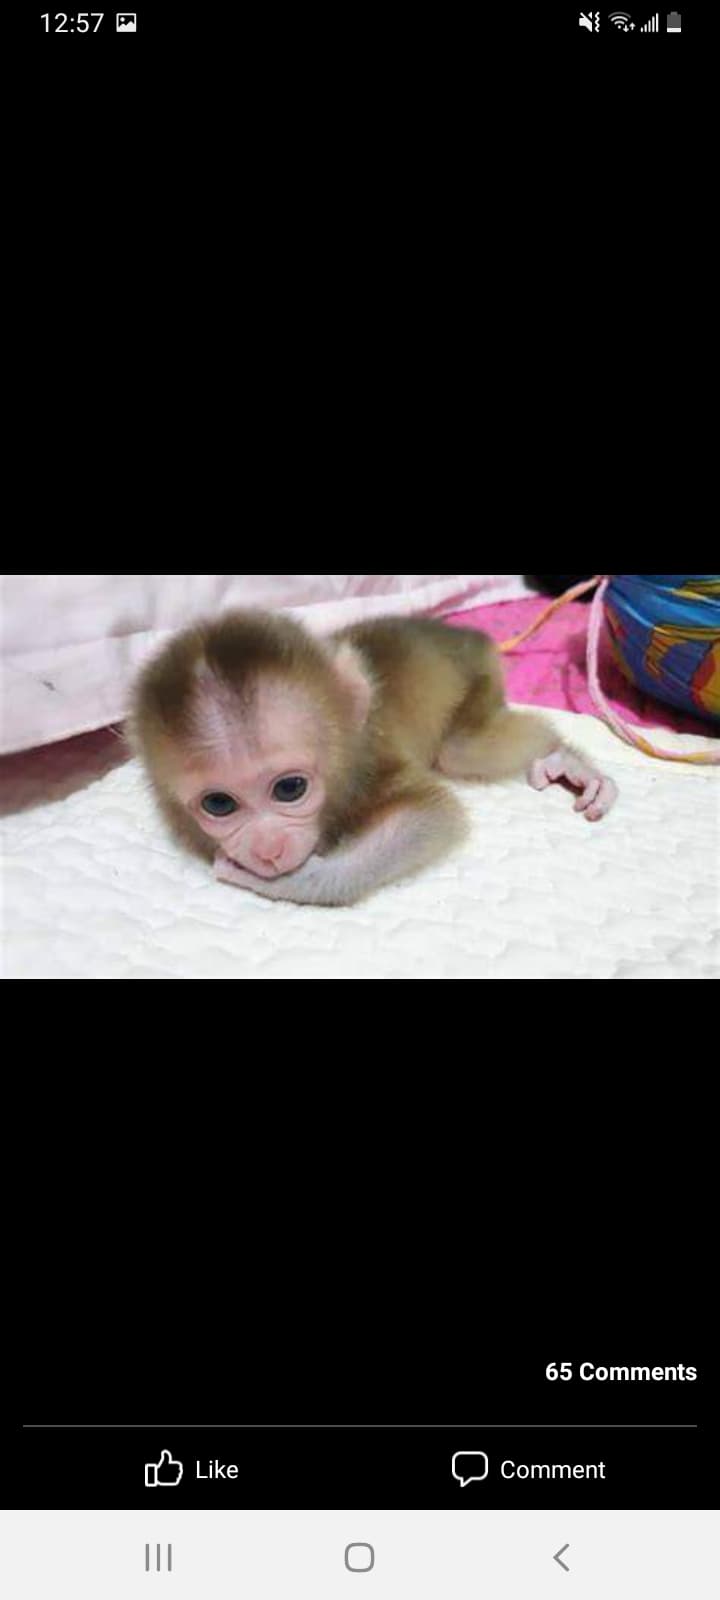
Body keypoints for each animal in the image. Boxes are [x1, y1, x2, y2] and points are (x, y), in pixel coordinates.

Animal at [130, 610, 618, 907]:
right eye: (219, 804)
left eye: (290, 788)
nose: (268, 850)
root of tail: (465, 634)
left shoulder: (370, 769)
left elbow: (430, 817)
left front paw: (295, 881)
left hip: (480, 676)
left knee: (460, 751)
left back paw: (565, 759)